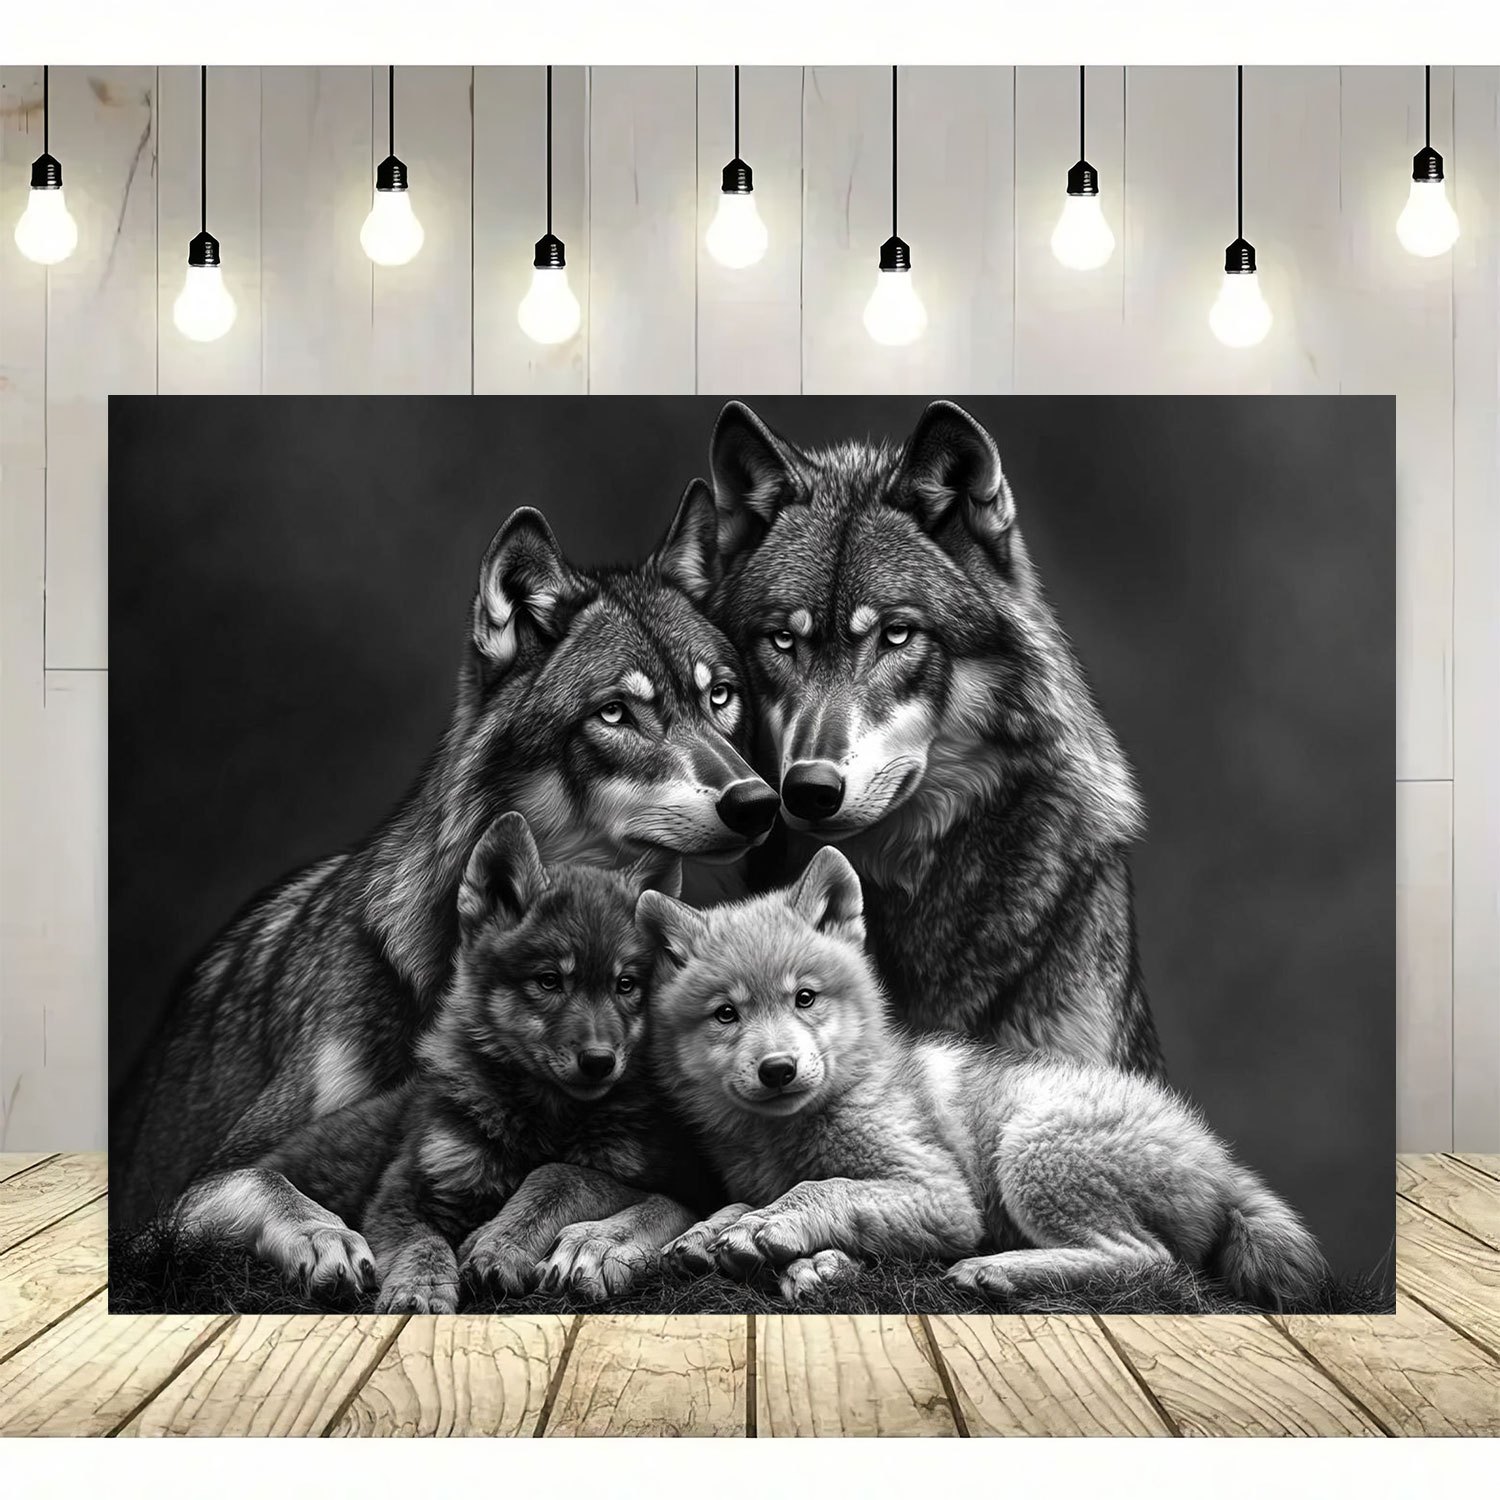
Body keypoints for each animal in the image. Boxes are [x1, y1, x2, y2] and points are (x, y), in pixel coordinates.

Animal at [173, 813, 715, 1311]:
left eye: (626, 985)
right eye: (549, 981)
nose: (600, 1061)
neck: (542, 1124)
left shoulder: (654, 1179)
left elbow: (561, 1176)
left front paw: (503, 1242)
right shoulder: (401, 1194)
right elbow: (424, 1243)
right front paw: (421, 1291)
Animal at [639, 847, 1327, 1310]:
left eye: (804, 998)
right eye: (726, 1014)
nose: (778, 1070)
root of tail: (1218, 1160)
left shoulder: (944, 1198)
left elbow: (824, 1188)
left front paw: (773, 1230)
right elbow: (743, 1202)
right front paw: (717, 1232)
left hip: (1031, 1150)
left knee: (1151, 1263)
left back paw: (997, 1271)